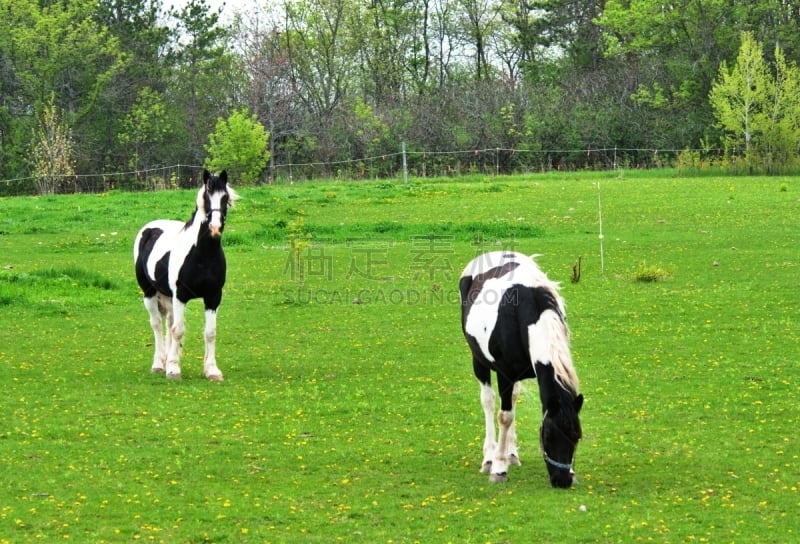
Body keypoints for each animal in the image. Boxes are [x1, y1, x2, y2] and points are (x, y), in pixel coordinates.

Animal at [133, 172, 239, 380]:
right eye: (206, 197)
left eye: (225, 198)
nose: (215, 228)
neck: (202, 254)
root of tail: (149, 228)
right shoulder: (181, 296)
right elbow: (179, 330)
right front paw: (173, 369)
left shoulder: (213, 297)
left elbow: (210, 332)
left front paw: (211, 370)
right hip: (149, 293)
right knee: (157, 325)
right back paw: (159, 364)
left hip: (168, 296)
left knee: (168, 324)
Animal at [460, 252, 584, 488]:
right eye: (548, 436)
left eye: (576, 436)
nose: (563, 480)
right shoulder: (505, 374)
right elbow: (504, 416)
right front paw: (499, 467)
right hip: (479, 362)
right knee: (488, 402)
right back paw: (489, 457)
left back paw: (511, 453)